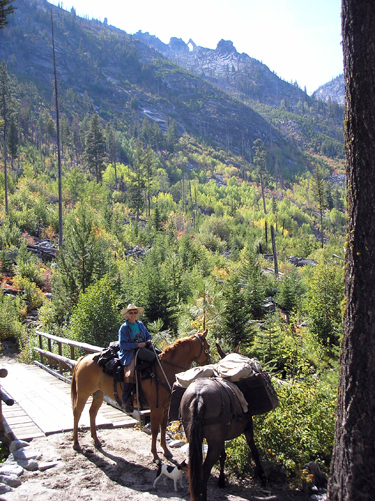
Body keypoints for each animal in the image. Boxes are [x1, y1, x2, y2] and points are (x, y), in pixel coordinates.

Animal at [71, 330, 210, 458]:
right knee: (77, 412)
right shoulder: (156, 408)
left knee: (92, 412)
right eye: (207, 347)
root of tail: (83, 359)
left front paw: (166, 451)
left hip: (98, 394)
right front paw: (155, 455)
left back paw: (96, 441)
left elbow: (163, 428)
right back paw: (76, 443)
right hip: (83, 393)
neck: (164, 370)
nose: (208, 362)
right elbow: (155, 430)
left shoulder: (166, 408)